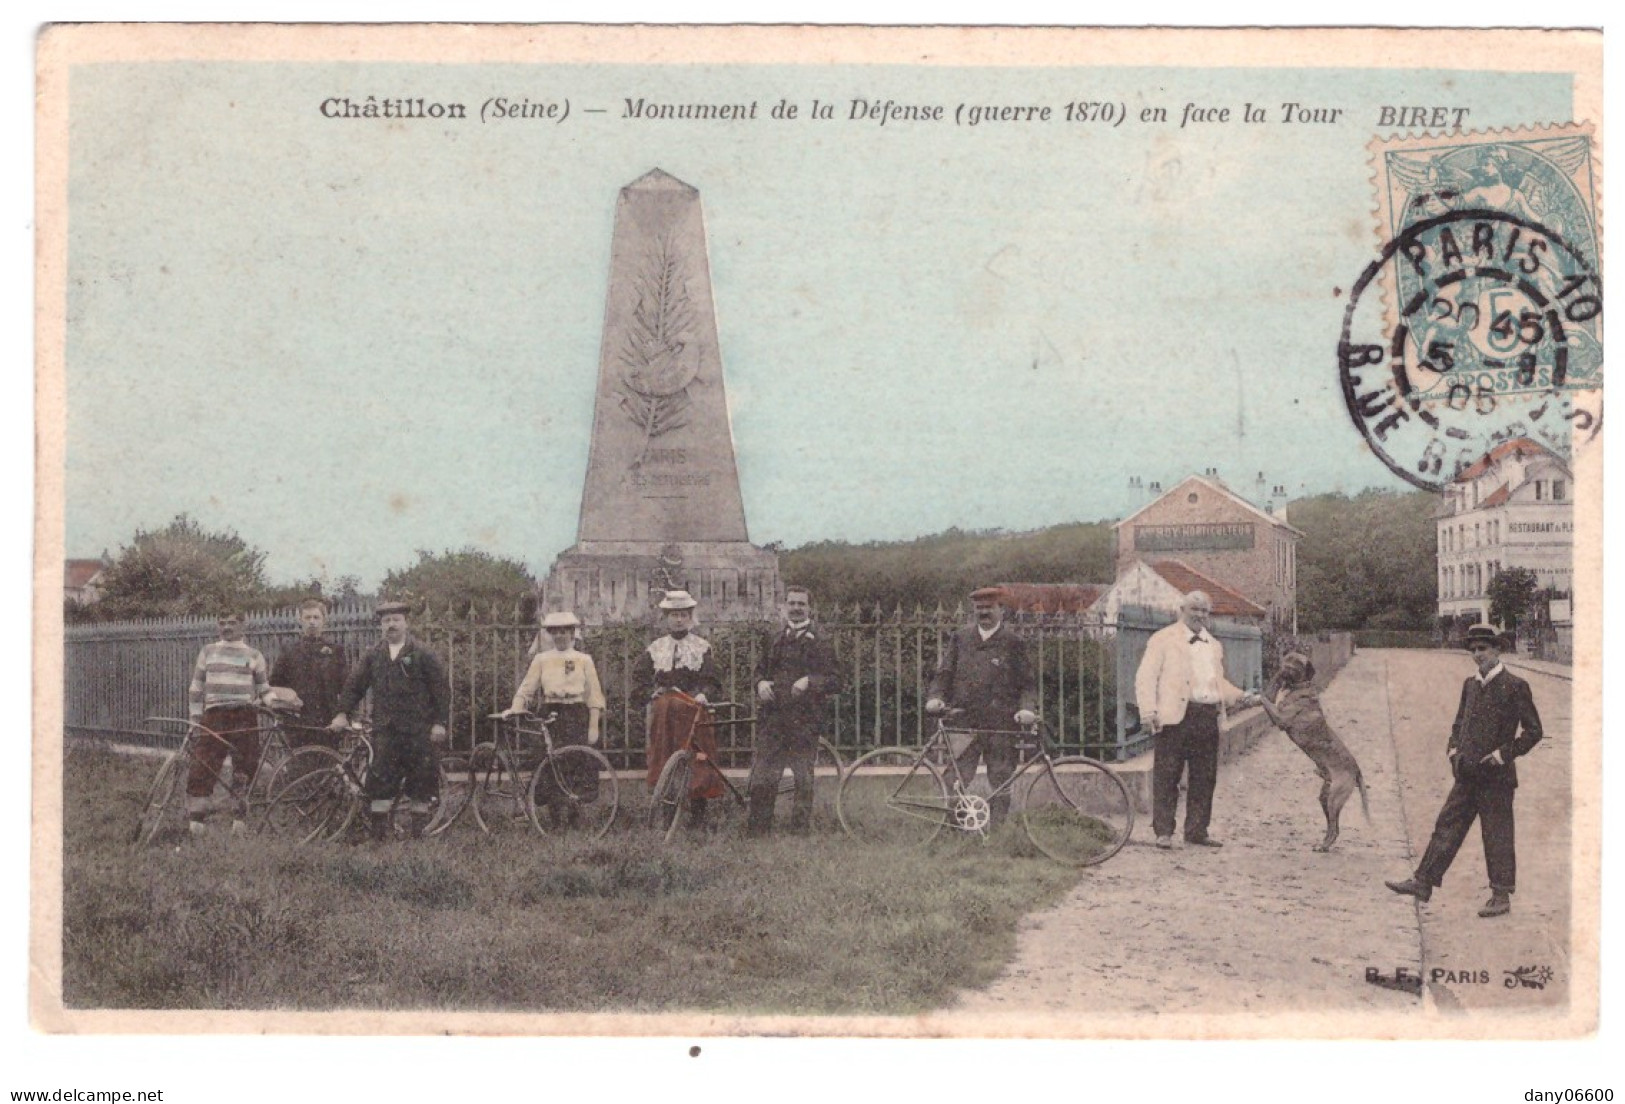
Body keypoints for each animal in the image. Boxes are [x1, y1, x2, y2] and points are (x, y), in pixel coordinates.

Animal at [1261, 653, 1365, 851]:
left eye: (1297, 663)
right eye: (1288, 657)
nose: (1283, 667)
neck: (1297, 687)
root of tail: (1356, 769)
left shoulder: (1280, 719)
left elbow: (1263, 699)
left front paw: (1251, 696)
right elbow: (1268, 694)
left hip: (1334, 799)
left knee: (1334, 828)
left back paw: (1323, 846)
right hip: (1325, 797)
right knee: (1334, 827)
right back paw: (1324, 844)